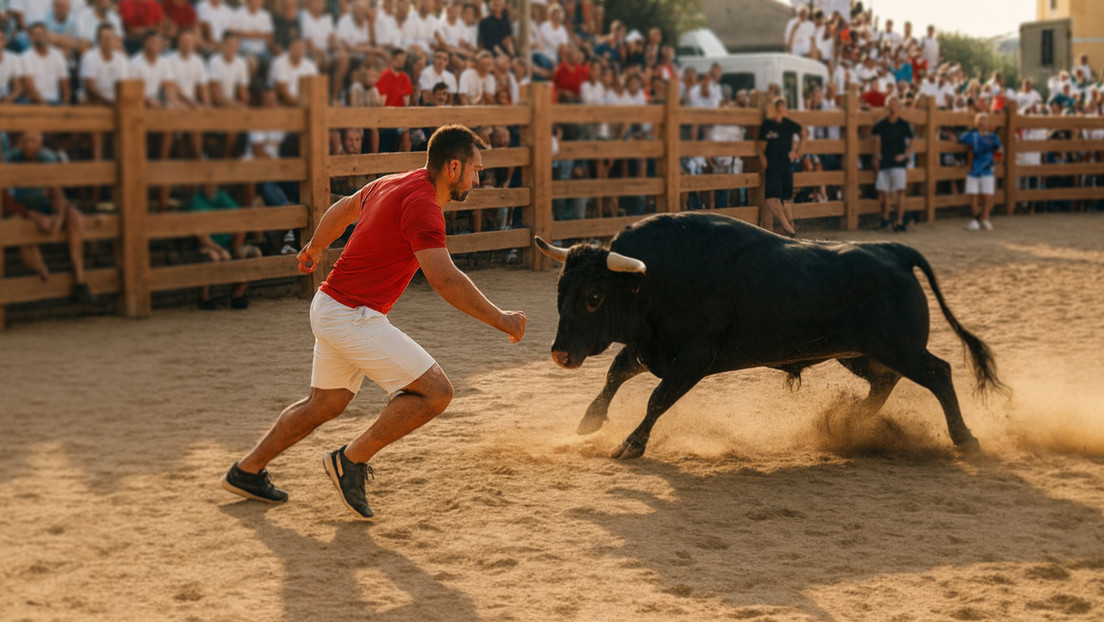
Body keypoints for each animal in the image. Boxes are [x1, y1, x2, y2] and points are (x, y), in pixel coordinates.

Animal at [535, 212, 1005, 460]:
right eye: (560, 289)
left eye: (594, 296)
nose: (561, 354)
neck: (660, 277)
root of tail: (893, 252)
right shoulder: (653, 348)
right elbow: (616, 371)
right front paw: (589, 420)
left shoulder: (693, 358)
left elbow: (657, 398)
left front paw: (630, 445)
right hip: (858, 352)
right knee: (884, 382)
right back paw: (849, 420)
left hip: (900, 347)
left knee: (938, 373)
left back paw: (965, 439)